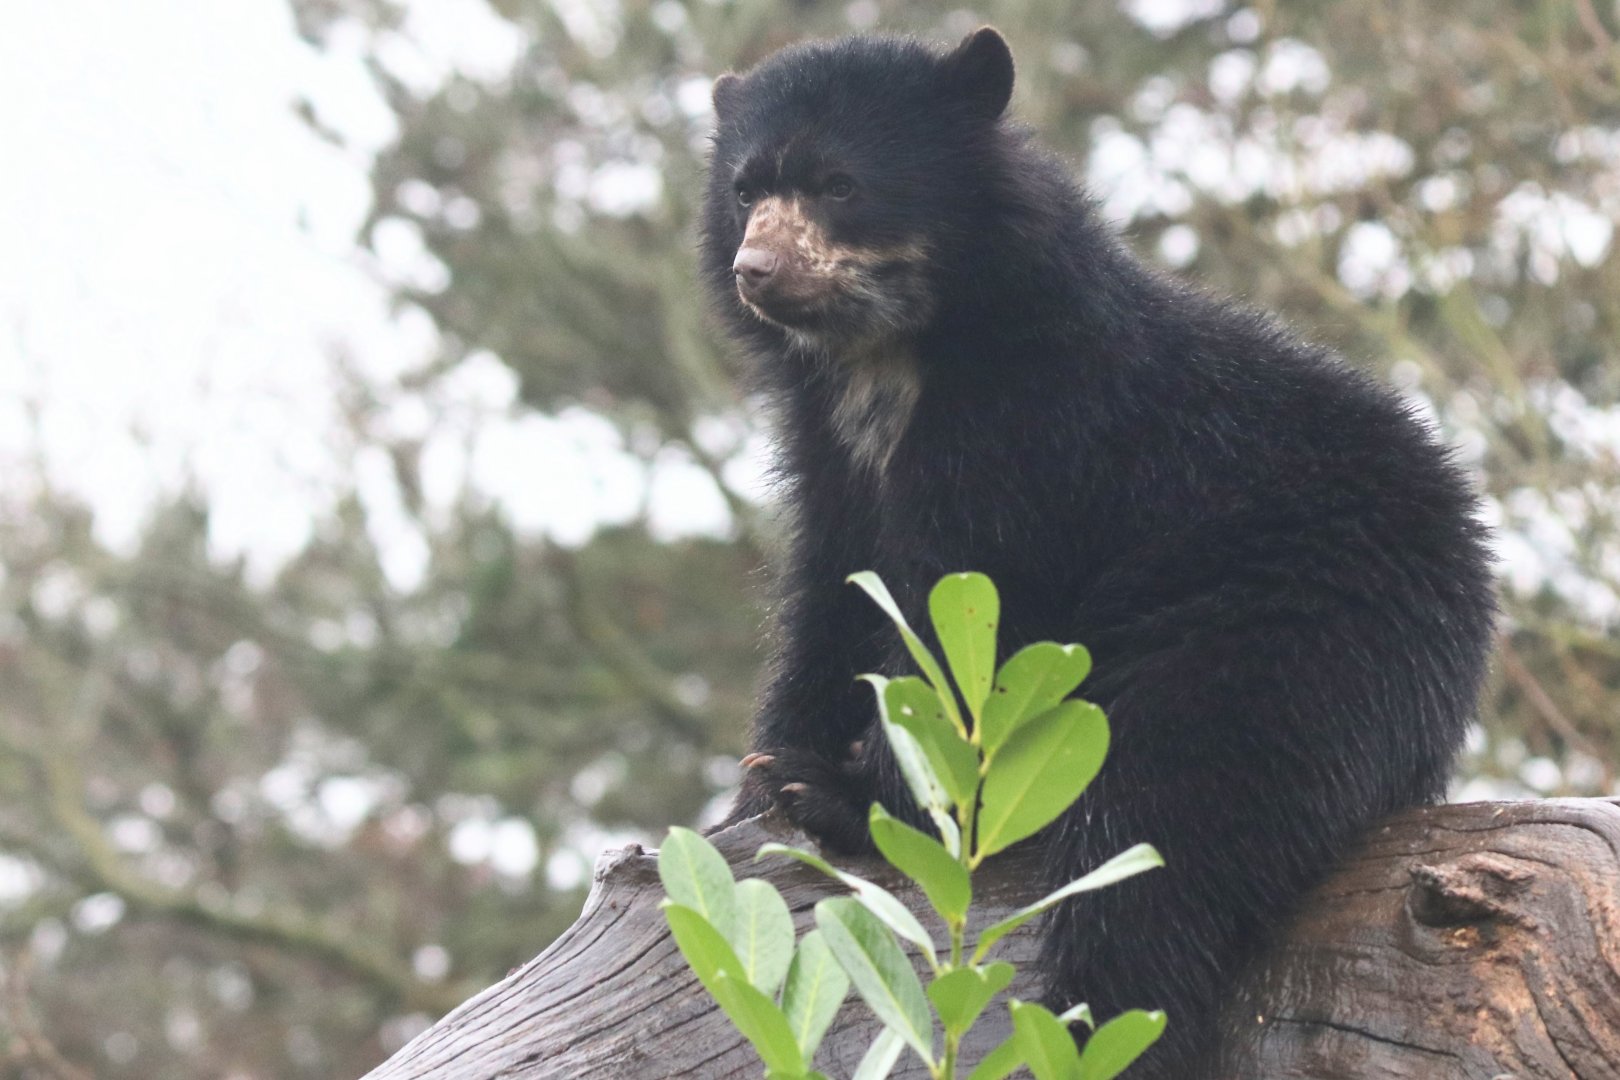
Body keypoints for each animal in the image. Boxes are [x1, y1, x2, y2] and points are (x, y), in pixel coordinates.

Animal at [702, 27, 1496, 1078]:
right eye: (745, 191)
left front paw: (838, 789)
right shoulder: (835, 461)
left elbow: (969, 615)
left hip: (1296, 634)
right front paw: (760, 781)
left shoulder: (1046, 439)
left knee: (1165, 834)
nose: (756, 269)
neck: (894, 356)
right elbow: (836, 597)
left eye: (839, 184)